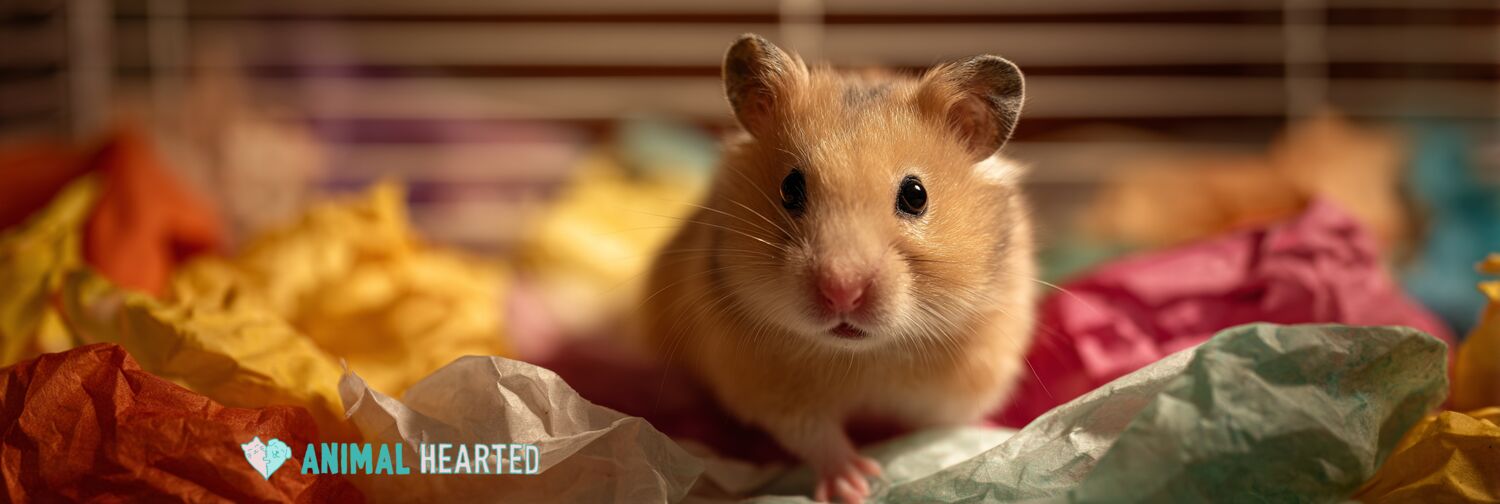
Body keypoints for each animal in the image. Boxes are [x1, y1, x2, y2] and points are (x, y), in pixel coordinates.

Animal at [642, 34, 1035, 503]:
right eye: (790, 188)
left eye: (916, 195)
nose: (842, 292)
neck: (864, 356)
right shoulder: (771, 386)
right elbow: (817, 437)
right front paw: (856, 484)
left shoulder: (967, 378)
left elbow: (936, 433)